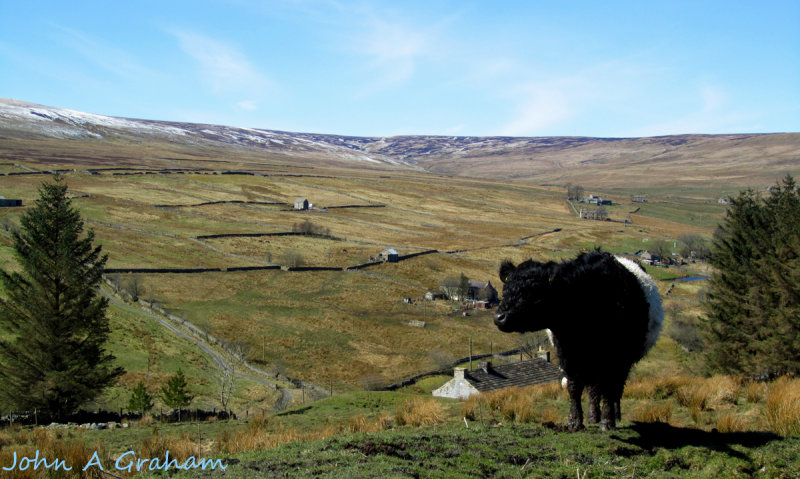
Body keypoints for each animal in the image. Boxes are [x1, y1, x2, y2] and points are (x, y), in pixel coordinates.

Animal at [494, 251, 664, 432]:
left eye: (532, 292)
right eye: (505, 289)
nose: (499, 317)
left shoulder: (616, 357)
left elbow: (609, 389)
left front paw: (607, 422)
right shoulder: (568, 354)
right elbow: (574, 387)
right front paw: (574, 422)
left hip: (623, 361)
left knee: (616, 388)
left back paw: (614, 416)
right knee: (594, 388)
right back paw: (593, 417)